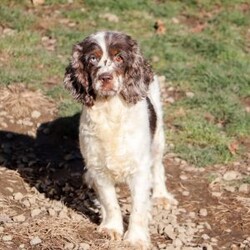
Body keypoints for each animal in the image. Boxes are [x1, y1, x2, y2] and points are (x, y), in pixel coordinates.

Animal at [64, 30, 174, 248]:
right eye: (92, 58)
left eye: (119, 58)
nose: (105, 77)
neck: (110, 111)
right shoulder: (99, 167)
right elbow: (110, 202)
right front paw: (111, 229)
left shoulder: (140, 170)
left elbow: (138, 208)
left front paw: (136, 239)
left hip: (158, 138)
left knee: (158, 166)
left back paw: (161, 196)